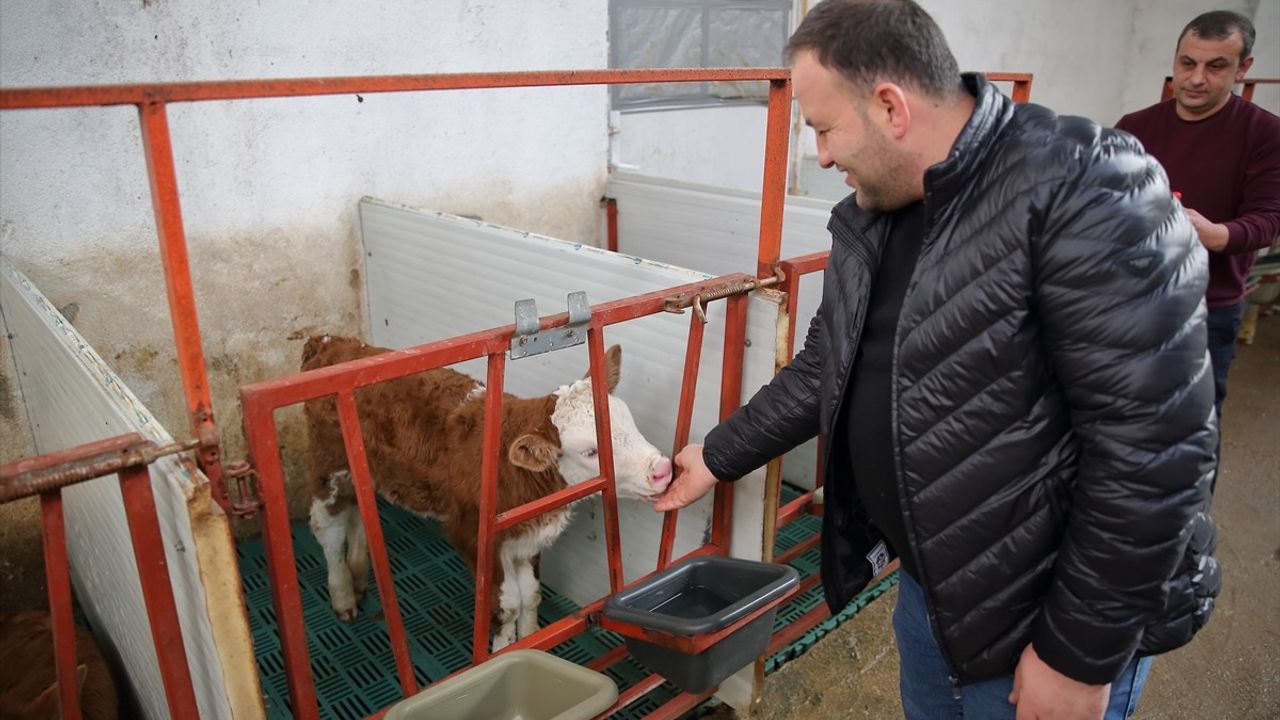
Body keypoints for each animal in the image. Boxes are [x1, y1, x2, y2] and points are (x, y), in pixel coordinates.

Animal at [303, 333, 675, 648]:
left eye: (629, 422)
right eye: (590, 451)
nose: (662, 470)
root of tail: (331, 342)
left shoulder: (526, 536)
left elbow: (531, 595)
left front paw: (531, 639)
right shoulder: (474, 537)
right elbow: (507, 605)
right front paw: (502, 651)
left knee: (355, 511)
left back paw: (359, 572)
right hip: (328, 465)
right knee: (327, 528)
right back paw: (343, 594)